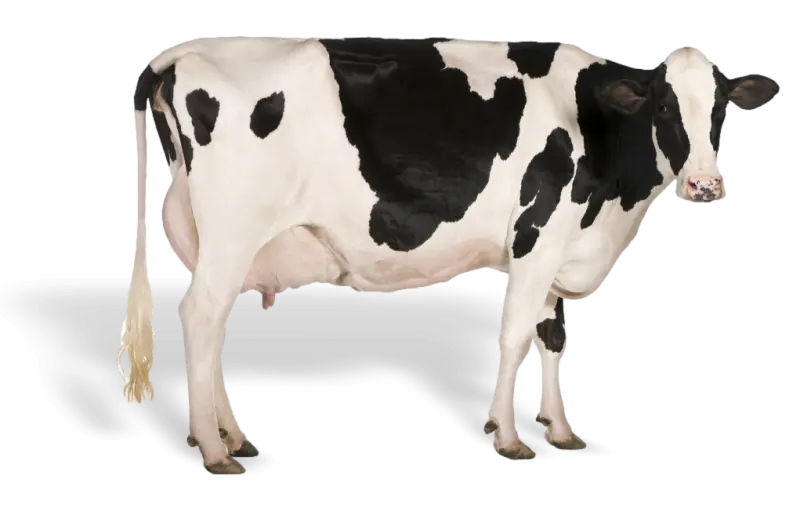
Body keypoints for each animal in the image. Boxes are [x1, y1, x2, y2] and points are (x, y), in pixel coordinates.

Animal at [121, 36, 780, 475]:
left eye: (722, 109)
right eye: (663, 107)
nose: (704, 186)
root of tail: (182, 53)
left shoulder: (557, 249)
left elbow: (552, 338)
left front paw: (562, 432)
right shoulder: (535, 235)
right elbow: (514, 337)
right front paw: (509, 436)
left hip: (212, 243)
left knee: (212, 328)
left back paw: (235, 438)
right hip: (233, 231)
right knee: (200, 318)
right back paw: (214, 450)